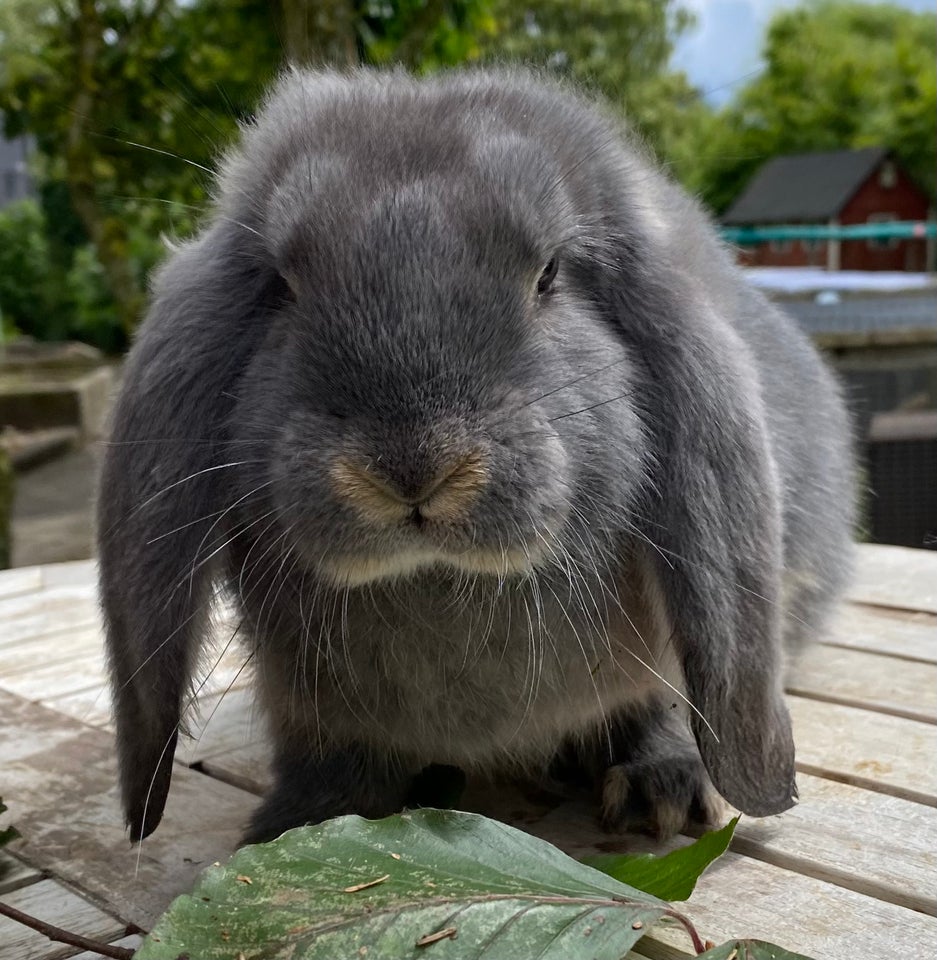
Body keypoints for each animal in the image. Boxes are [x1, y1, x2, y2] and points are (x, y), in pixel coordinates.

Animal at [98, 69, 852, 848]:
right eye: (281, 285)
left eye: (549, 275)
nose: (411, 468)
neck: (441, 587)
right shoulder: (311, 711)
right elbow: (332, 763)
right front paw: (293, 827)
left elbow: (661, 702)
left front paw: (662, 792)